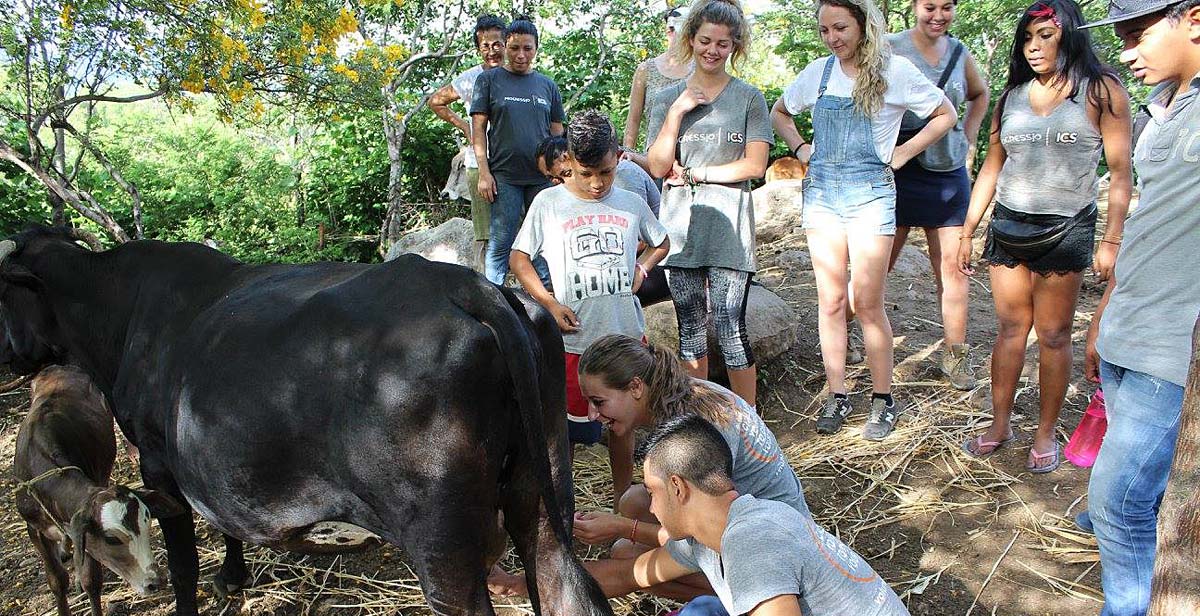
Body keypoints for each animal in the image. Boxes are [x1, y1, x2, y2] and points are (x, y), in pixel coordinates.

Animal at [15, 365, 182, 614]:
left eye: (146, 526)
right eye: (112, 539)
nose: (155, 581)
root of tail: (60, 367)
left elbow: (90, 580)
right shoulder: (34, 528)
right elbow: (57, 581)